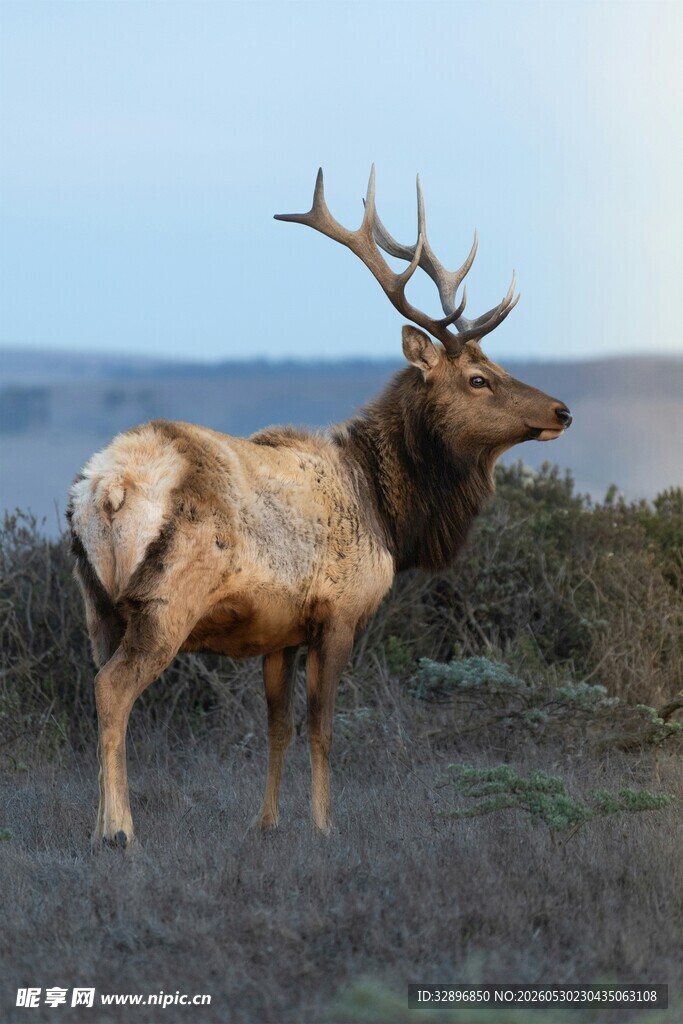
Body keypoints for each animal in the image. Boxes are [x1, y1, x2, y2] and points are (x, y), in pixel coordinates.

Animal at [67, 168, 572, 849]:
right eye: (478, 379)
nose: (562, 411)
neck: (389, 513)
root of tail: (105, 489)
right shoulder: (339, 613)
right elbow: (323, 727)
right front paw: (326, 826)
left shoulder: (279, 630)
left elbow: (277, 725)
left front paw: (267, 822)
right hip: (164, 602)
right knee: (115, 689)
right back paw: (119, 832)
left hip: (96, 605)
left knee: (96, 688)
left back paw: (99, 823)